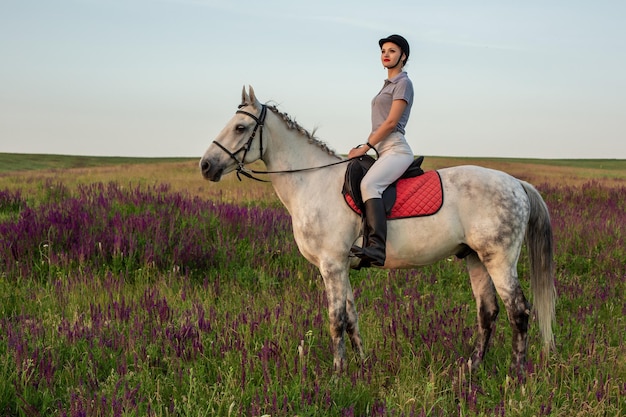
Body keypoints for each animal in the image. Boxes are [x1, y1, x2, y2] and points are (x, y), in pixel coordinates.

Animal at [197, 85, 552, 374]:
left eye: (240, 127)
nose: (205, 165)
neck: (312, 181)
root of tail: (517, 183)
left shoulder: (331, 265)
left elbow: (336, 320)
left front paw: (337, 374)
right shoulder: (340, 266)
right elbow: (352, 318)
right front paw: (363, 366)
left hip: (499, 260)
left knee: (519, 313)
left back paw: (516, 376)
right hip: (475, 258)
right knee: (488, 312)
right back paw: (472, 368)